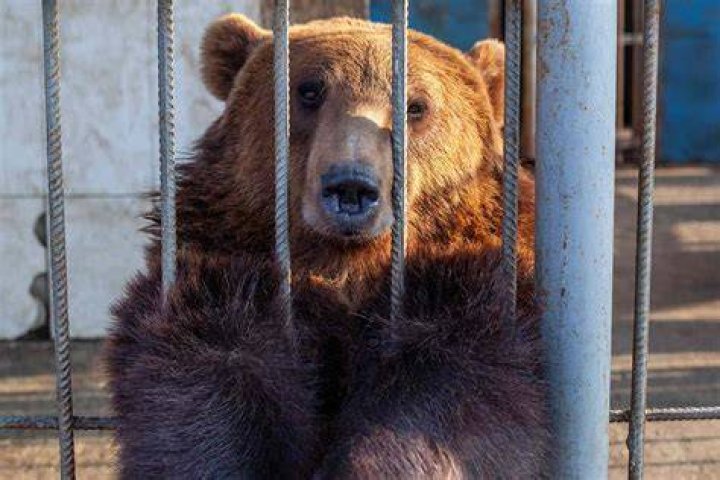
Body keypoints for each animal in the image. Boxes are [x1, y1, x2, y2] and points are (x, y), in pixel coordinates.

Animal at [105, 14, 547, 479]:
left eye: (417, 105)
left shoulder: (464, 290)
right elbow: (203, 391)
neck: (344, 266)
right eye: (309, 90)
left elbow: (455, 398)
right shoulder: (225, 277)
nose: (351, 185)